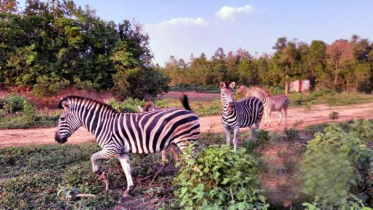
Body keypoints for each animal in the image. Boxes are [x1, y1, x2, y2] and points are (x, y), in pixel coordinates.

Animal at [54, 96, 199, 198]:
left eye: (62, 119)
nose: (56, 139)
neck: (103, 125)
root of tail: (189, 112)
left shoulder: (111, 149)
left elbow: (93, 157)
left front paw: (101, 174)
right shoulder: (121, 152)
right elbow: (126, 169)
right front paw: (129, 189)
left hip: (186, 142)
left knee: (193, 162)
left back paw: (190, 182)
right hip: (186, 142)